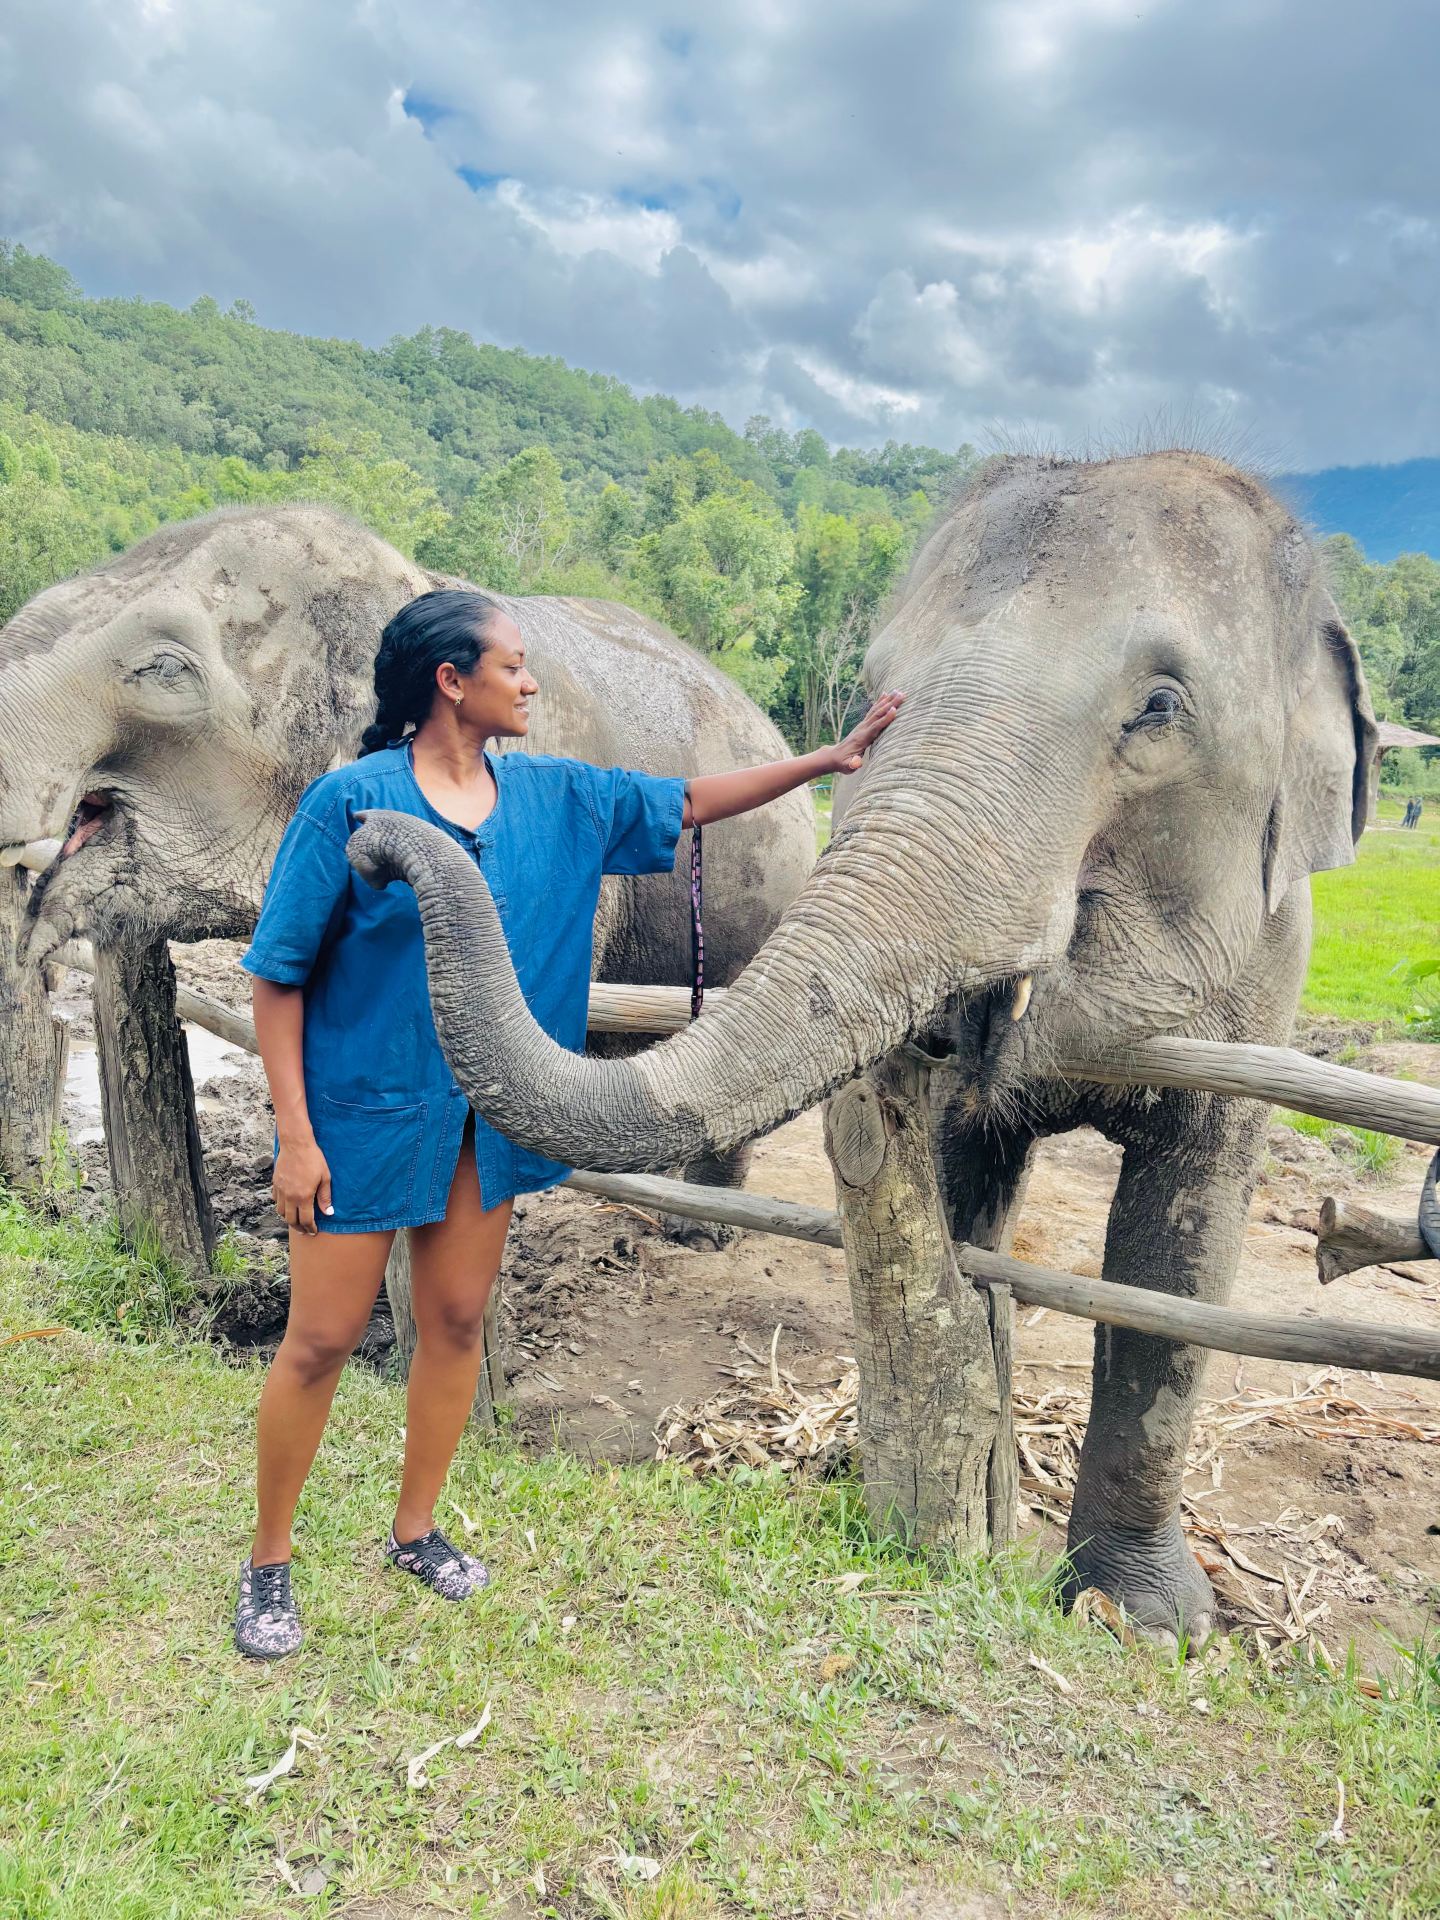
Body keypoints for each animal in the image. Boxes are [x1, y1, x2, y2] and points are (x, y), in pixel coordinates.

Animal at [346, 450, 1377, 1643]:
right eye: (879, 689)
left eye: (1161, 707)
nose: (370, 839)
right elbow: (956, 1178)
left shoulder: (1268, 985)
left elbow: (1181, 1257)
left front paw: (1145, 1623)